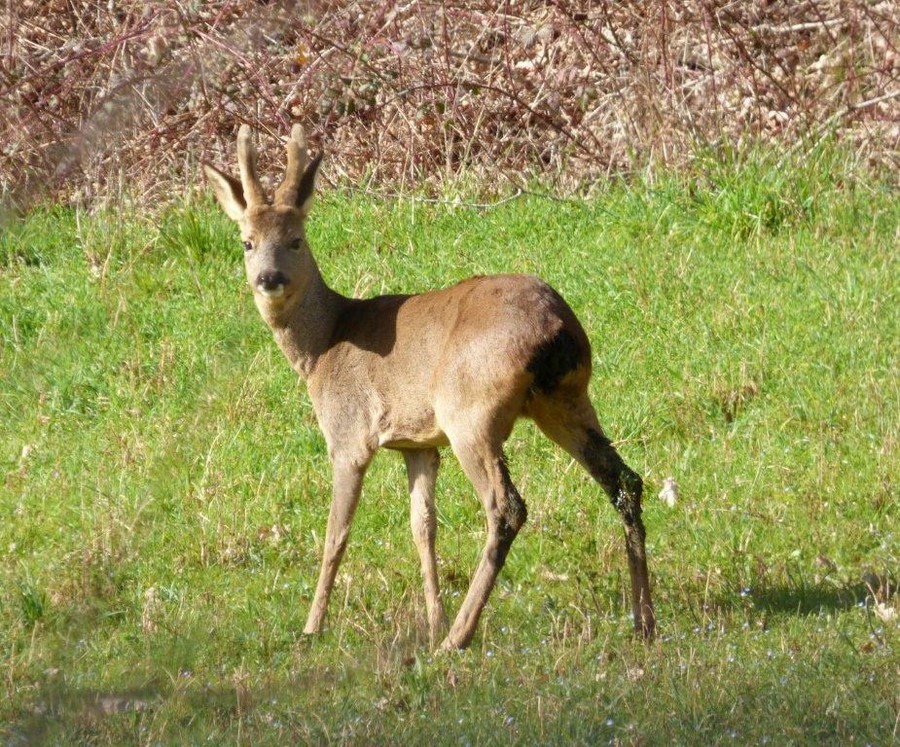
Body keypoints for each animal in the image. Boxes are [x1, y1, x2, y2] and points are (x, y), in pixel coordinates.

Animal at [202, 122, 652, 648]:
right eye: (246, 242)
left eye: (296, 240)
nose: (268, 278)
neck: (324, 345)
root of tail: (556, 327)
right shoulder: (418, 444)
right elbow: (423, 528)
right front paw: (432, 619)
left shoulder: (349, 434)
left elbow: (337, 533)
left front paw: (312, 626)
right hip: (567, 398)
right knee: (625, 481)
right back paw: (644, 621)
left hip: (471, 412)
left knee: (508, 507)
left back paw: (459, 637)